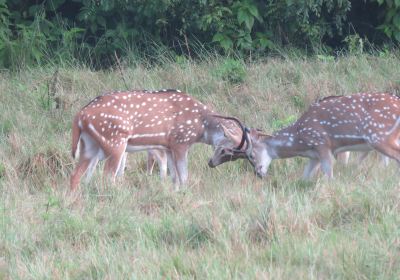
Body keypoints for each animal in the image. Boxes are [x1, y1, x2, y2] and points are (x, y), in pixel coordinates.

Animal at [72, 89, 247, 190]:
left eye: (236, 156)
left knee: (76, 175)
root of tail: (80, 115)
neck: (200, 127)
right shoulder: (180, 142)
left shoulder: (167, 147)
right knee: (107, 176)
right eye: (225, 150)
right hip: (114, 141)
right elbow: (183, 176)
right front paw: (185, 193)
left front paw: (175, 192)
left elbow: (174, 176)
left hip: (89, 144)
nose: (211, 163)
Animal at [209, 93, 400, 178]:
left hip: (380, 137)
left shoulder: (323, 145)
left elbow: (329, 176)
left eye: (250, 155)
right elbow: (304, 179)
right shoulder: (313, 156)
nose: (259, 173)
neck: (300, 140)